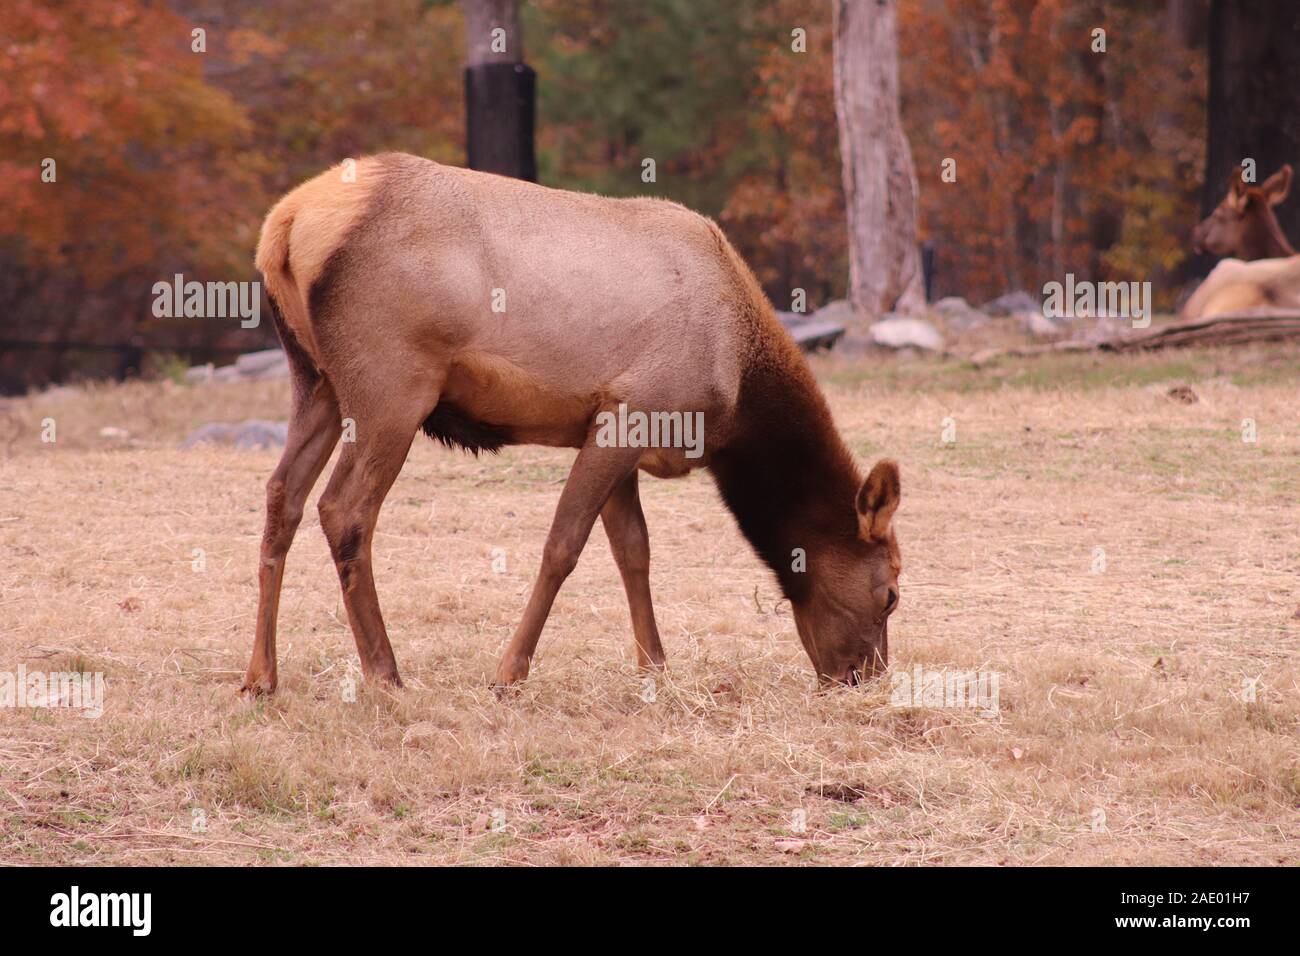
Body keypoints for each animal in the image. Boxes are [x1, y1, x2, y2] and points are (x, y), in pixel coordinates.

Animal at [239, 155, 899, 697]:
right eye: (891, 593)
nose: (863, 678)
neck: (735, 396)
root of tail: (284, 225)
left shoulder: (612, 424)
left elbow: (634, 551)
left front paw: (655, 666)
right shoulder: (635, 412)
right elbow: (563, 545)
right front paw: (509, 672)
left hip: (316, 380)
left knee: (281, 494)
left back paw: (261, 676)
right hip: (392, 386)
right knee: (344, 509)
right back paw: (385, 673)